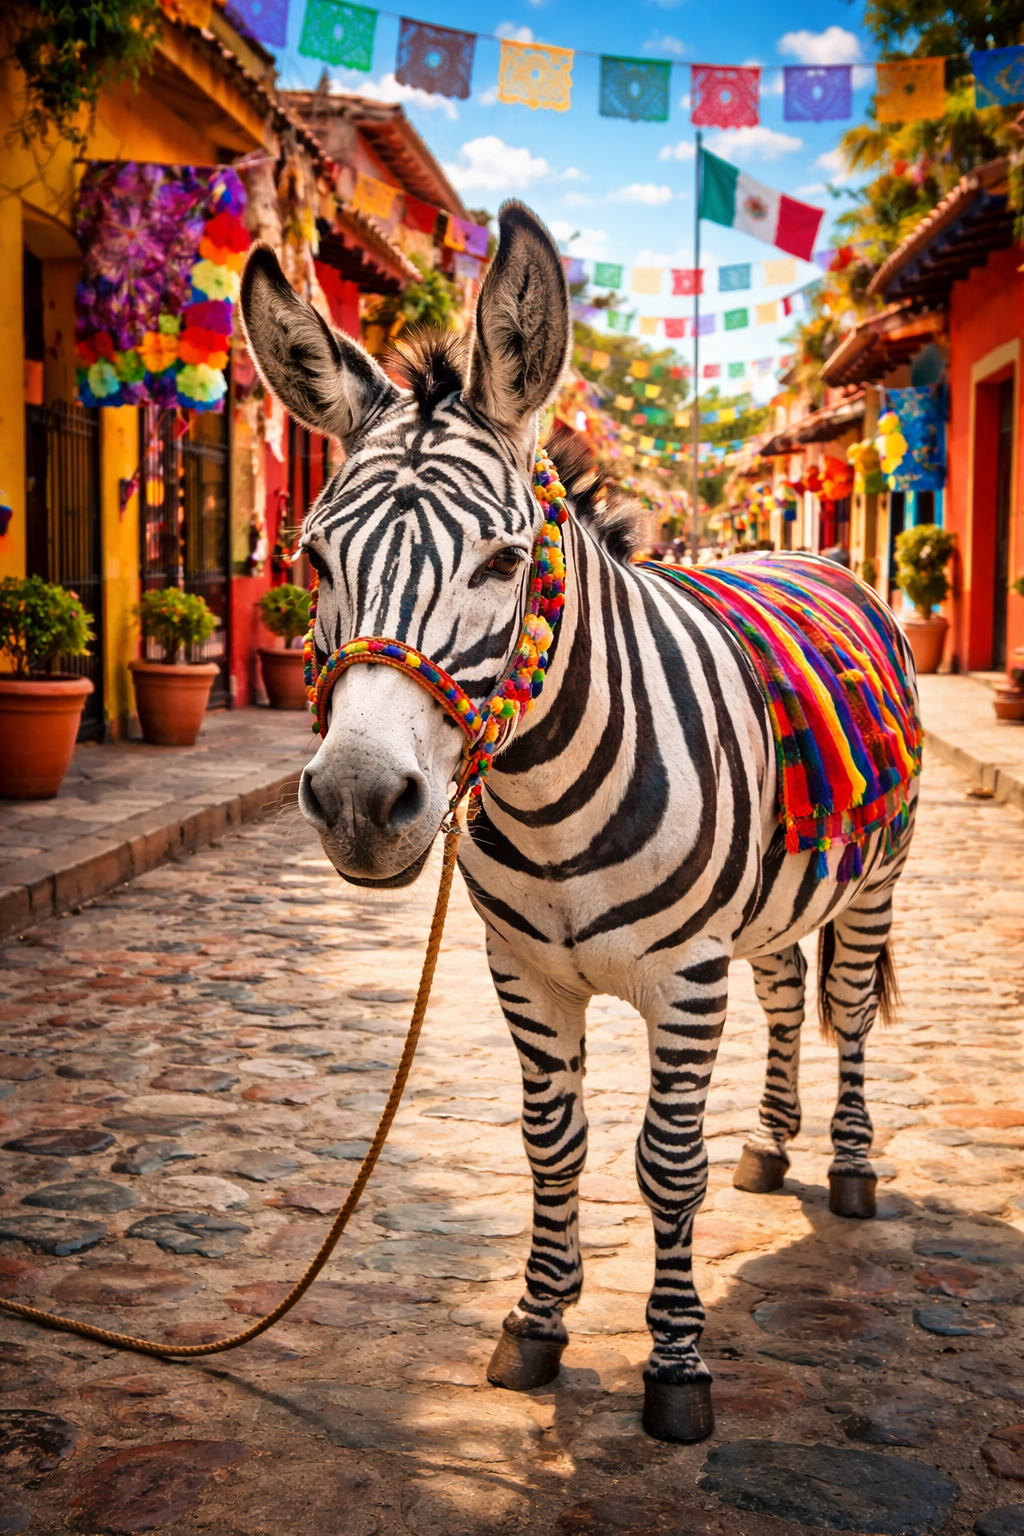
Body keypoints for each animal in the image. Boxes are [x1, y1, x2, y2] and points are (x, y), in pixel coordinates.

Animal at [239, 201, 918, 1444]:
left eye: (505, 561)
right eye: (312, 557)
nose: (358, 802)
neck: (548, 804)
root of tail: (805, 549)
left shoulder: (686, 980)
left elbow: (666, 1165)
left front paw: (678, 1365)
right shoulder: (524, 971)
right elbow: (553, 1146)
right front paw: (536, 1324)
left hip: (877, 874)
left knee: (846, 1011)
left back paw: (848, 1171)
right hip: (778, 896)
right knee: (787, 994)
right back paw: (770, 1146)